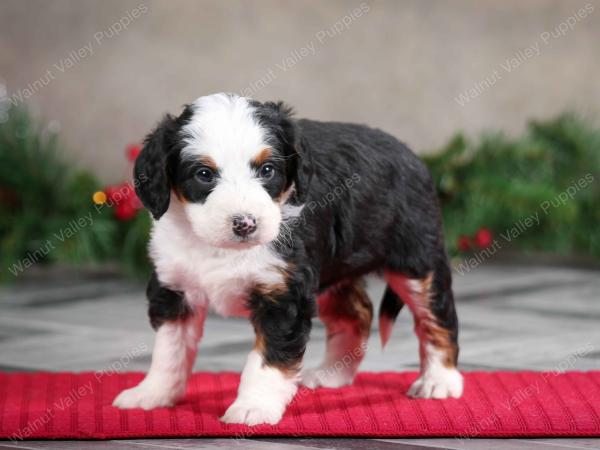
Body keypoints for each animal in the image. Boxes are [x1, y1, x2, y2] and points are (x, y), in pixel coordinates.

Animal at [112, 92, 464, 426]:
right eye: (203, 174)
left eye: (267, 170)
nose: (245, 223)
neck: (222, 249)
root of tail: (411, 155)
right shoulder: (173, 287)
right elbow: (168, 351)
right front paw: (153, 394)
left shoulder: (282, 293)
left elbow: (268, 360)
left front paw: (253, 407)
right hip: (329, 274)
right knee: (357, 314)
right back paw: (332, 374)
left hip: (418, 261)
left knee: (436, 318)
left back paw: (439, 380)